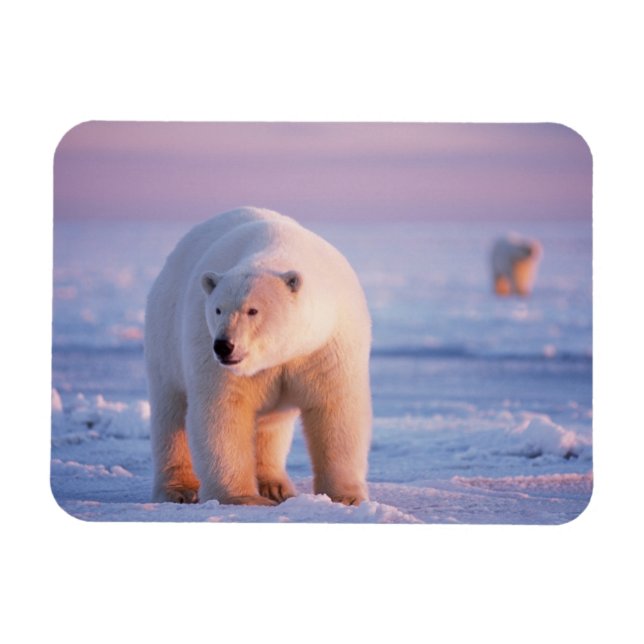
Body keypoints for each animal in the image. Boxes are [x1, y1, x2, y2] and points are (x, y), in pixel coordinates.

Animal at [144, 207, 372, 507]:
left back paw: (274, 485)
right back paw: (179, 490)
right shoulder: (205, 343)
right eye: (218, 309)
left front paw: (346, 498)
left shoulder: (326, 346)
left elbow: (336, 408)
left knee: (270, 424)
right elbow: (223, 409)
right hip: (164, 337)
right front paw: (241, 498)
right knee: (170, 413)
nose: (223, 346)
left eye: (252, 310)